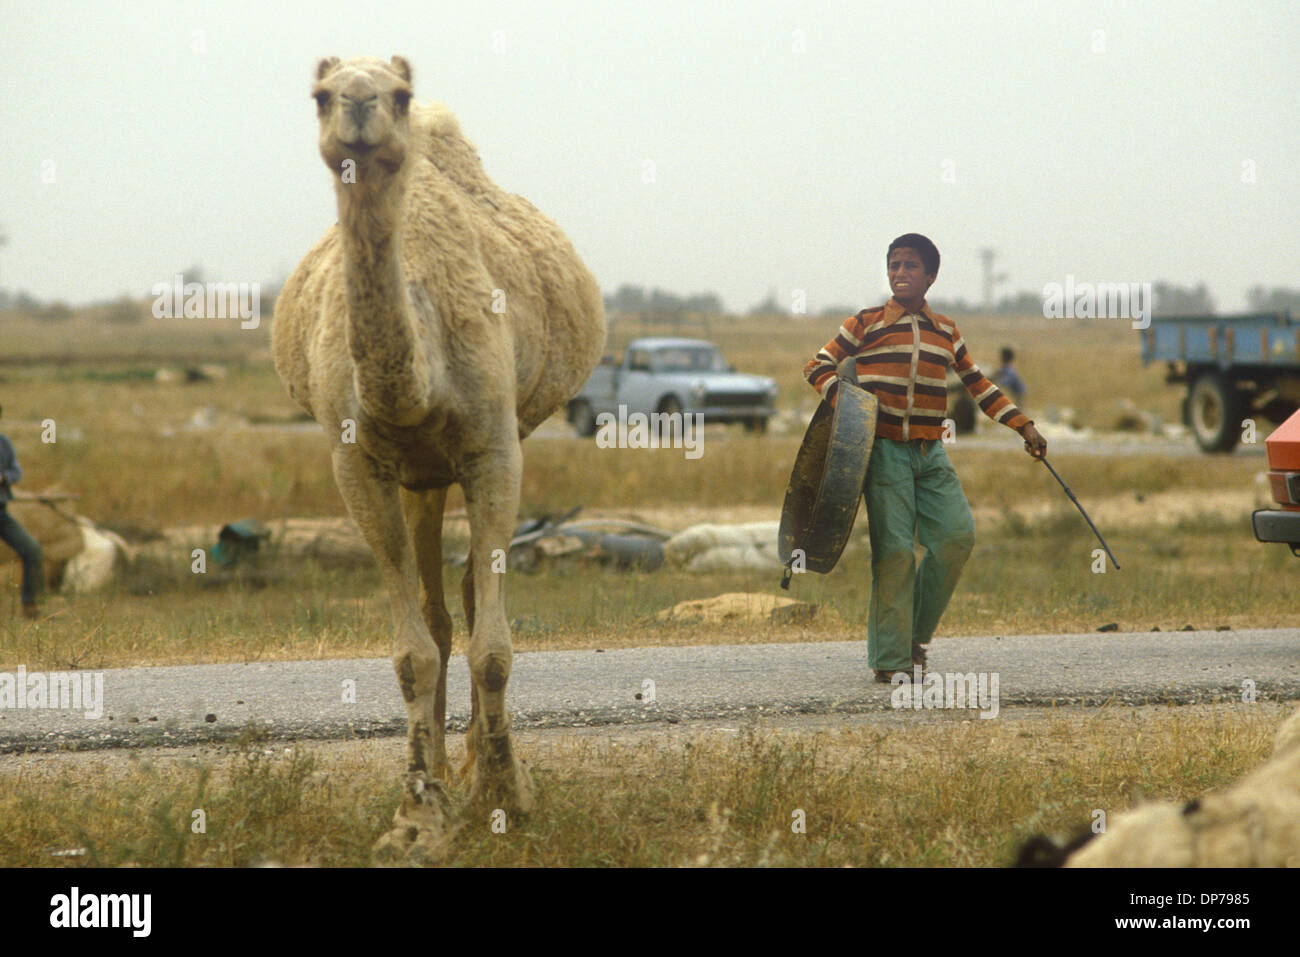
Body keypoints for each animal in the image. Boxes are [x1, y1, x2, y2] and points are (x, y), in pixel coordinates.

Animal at [273, 54, 603, 858]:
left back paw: (477, 766)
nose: (359, 104)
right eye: (319, 95)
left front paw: (507, 796)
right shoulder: (358, 463)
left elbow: (494, 644)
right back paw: (451, 774)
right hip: (421, 478)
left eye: (400, 93)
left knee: (468, 600)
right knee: (437, 609)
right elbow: (411, 650)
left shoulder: (494, 448)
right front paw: (417, 816)